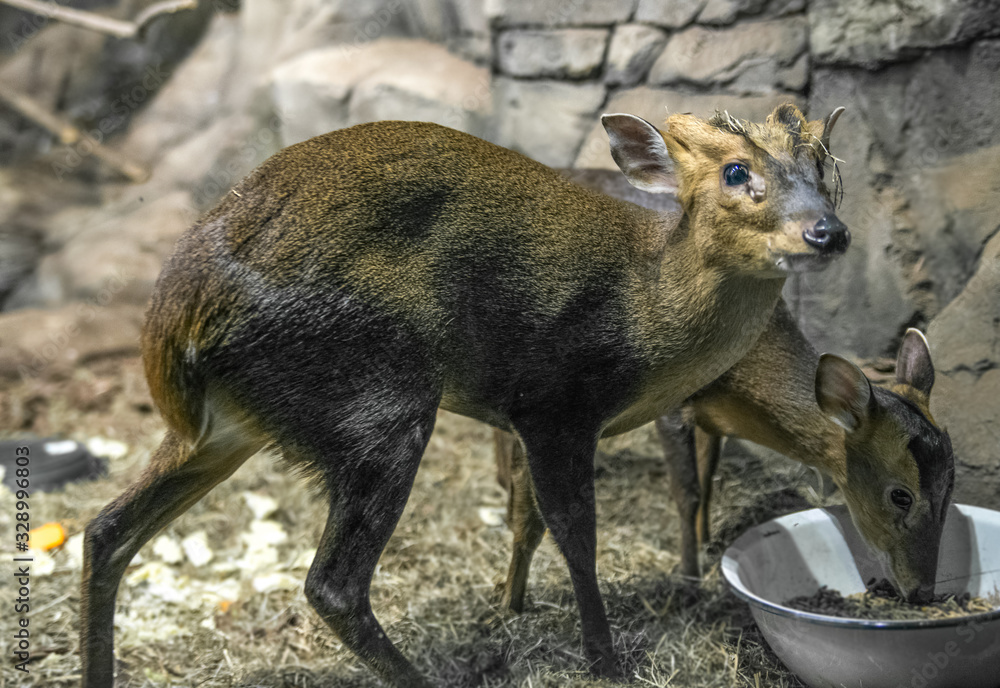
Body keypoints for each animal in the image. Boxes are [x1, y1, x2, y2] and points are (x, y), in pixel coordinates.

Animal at [81, 103, 849, 687]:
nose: (829, 232)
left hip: (227, 427)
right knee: (333, 585)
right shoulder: (556, 403)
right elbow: (575, 533)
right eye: (735, 170)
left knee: (106, 532)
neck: (651, 308)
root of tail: (175, 321)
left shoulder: (523, 418)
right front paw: (604, 660)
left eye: (824, 169)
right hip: (379, 405)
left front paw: (517, 608)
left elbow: (530, 520)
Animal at [493, 169, 955, 619]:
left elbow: (708, 478)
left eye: (951, 487)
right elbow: (688, 491)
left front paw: (708, 545)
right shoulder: (669, 404)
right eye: (900, 495)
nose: (922, 592)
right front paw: (689, 578)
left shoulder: (710, 415)